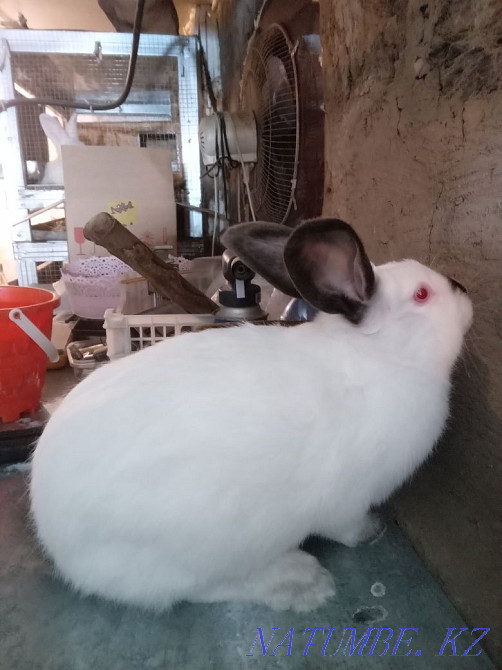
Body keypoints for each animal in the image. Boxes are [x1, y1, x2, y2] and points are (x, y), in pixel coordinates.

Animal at [30, 218, 473, 613]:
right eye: (422, 295)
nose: (467, 293)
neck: (383, 356)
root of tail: (57, 544)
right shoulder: (348, 499)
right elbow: (346, 528)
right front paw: (372, 532)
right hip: (202, 547)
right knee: (203, 589)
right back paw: (301, 582)